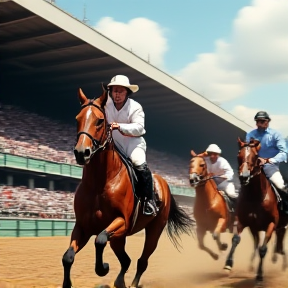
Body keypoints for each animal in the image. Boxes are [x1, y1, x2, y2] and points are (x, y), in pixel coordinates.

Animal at [60, 85, 194, 288]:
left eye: (99, 121)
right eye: (78, 118)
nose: (82, 152)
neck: (100, 183)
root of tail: (164, 184)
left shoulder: (121, 222)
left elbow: (99, 240)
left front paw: (103, 268)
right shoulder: (83, 226)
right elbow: (68, 257)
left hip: (153, 231)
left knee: (141, 261)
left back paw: (132, 283)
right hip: (120, 238)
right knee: (126, 260)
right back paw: (119, 281)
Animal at [224, 138, 280, 282]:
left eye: (255, 156)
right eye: (239, 155)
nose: (244, 176)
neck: (255, 197)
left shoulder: (271, 224)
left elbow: (263, 249)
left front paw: (260, 275)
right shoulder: (242, 220)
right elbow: (235, 239)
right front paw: (228, 264)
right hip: (255, 229)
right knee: (256, 243)